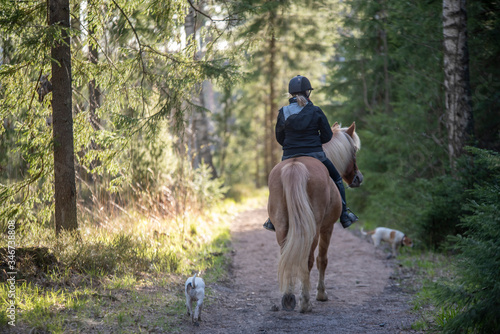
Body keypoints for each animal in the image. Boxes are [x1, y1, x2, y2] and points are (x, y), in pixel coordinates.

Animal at [268, 121, 362, 312]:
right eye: (354, 151)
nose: (358, 178)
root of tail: (295, 166)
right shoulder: (328, 227)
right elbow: (322, 260)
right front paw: (321, 294)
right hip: (314, 229)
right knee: (308, 260)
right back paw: (305, 302)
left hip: (282, 226)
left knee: (286, 256)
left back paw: (288, 298)